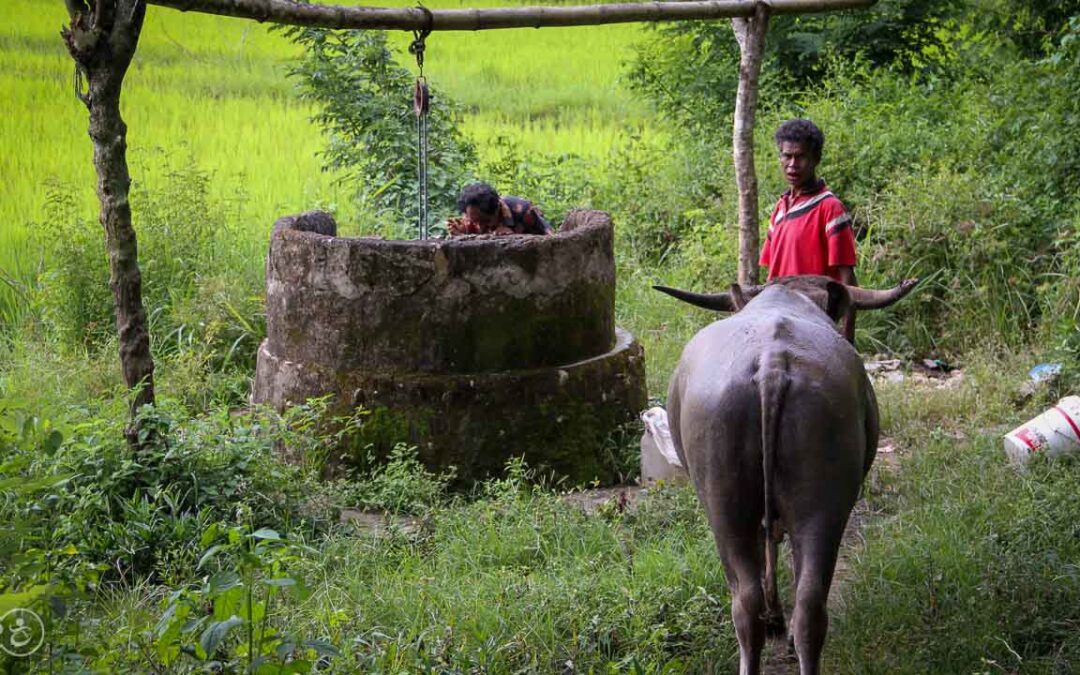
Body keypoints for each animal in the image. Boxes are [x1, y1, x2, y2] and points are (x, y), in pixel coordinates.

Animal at [652, 274, 915, 673]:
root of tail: (772, 364)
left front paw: (776, 617)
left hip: (729, 508)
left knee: (756, 602)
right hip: (813, 504)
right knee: (798, 601)